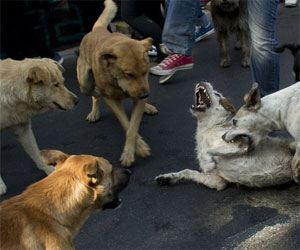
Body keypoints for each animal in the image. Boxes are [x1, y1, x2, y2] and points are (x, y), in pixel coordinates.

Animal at [0, 57, 78, 194]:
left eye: (62, 82)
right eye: (55, 85)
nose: (77, 100)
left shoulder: (23, 130)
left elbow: (36, 154)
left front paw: (48, 170)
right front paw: (0, 186)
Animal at [76, 0, 158, 169]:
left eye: (145, 72)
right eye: (129, 74)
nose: (145, 95)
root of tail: (98, 29)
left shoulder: (140, 92)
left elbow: (132, 127)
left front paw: (134, 150)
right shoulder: (112, 99)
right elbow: (127, 125)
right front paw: (137, 148)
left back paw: (147, 107)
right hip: (84, 84)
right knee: (94, 94)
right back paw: (94, 111)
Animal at [155, 81, 296, 190]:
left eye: (217, 94)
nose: (202, 81)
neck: (208, 128)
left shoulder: (242, 143)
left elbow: (208, 151)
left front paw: (208, 160)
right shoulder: (216, 181)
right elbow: (188, 171)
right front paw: (167, 177)